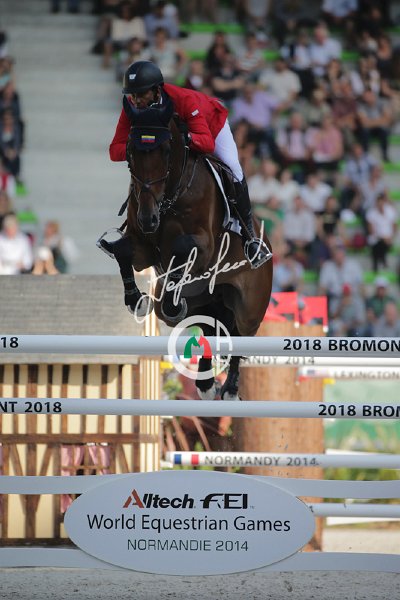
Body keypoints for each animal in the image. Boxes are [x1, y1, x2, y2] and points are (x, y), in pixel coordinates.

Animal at [102, 99, 273, 400]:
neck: (170, 196)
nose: (148, 219)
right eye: (130, 152)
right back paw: (206, 383)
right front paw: (137, 300)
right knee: (208, 327)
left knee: (241, 335)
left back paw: (229, 389)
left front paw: (171, 294)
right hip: (203, 302)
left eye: (167, 150)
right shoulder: (144, 248)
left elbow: (184, 248)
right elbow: (123, 250)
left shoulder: (205, 249)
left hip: (249, 307)